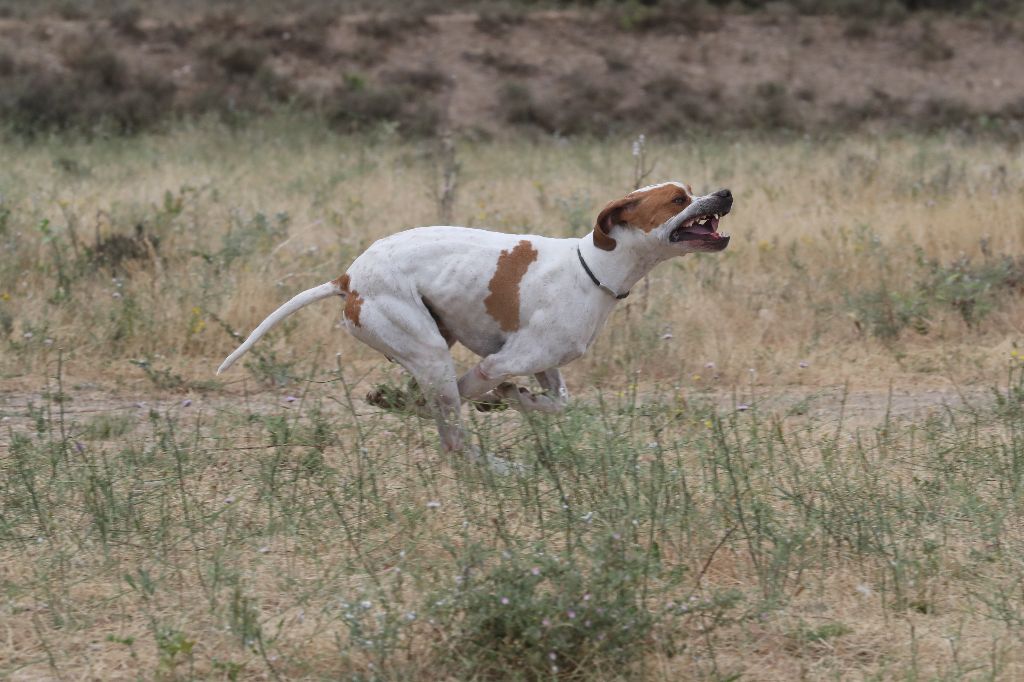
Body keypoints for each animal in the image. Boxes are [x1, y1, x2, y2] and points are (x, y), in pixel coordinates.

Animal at [218, 179, 729, 456]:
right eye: (678, 199)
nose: (724, 192)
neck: (594, 268)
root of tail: (347, 278)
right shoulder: (495, 363)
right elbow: (467, 393)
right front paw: (497, 398)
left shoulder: (546, 366)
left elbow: (557, 403)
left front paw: (517, 400)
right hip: (430, 354)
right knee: (453, 440)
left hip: (435, 341)